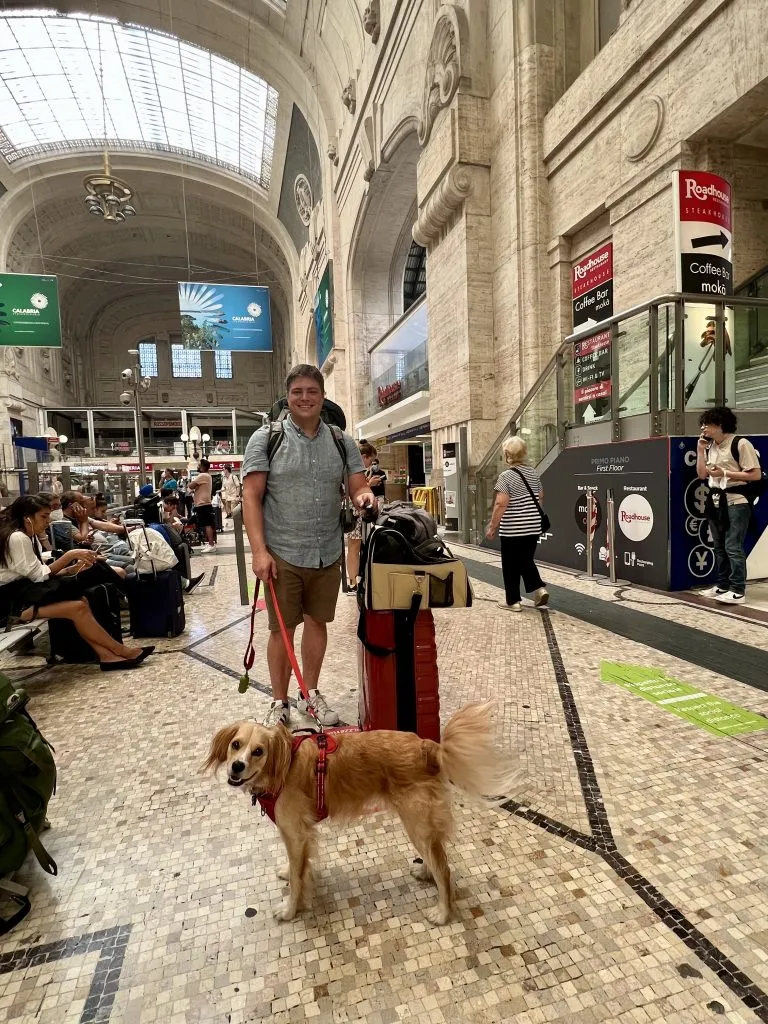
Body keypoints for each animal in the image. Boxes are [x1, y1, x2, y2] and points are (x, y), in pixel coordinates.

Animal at [205, 704, 518, 929]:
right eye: (236, 745)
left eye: (258, 751)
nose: (236, 766)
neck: (283, 765)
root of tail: (429, 747)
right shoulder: (299, 836)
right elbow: (299, 868)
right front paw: (290, 873)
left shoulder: (296, 832)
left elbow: (297, 878)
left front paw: (291, 910)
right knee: (436, 856)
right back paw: (425, 872)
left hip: (415, 822)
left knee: (444, 869)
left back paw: (442, 912)